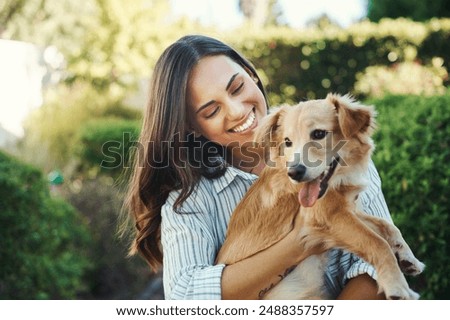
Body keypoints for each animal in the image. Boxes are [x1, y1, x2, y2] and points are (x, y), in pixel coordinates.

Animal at [218, 93, 426, 300]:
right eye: (287, 142)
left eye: (318, 134)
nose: (294, 172)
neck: (338, 179)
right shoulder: (328, 216)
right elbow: (376, 242)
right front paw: (396, 285)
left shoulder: (347, 209)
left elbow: (386, 226)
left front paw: (408, 258)